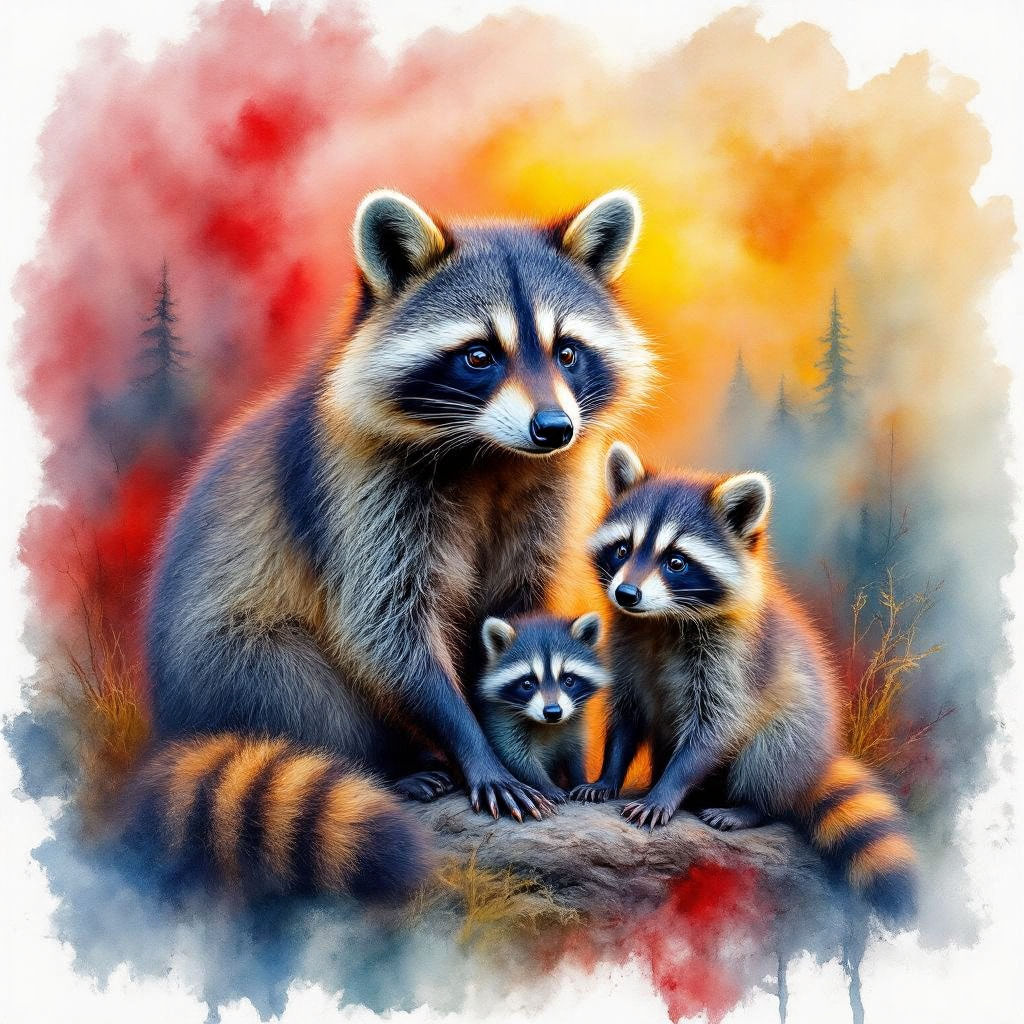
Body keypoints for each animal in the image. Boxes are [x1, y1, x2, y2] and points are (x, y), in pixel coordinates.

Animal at [474, 612, 607, 801]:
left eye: (568, 680)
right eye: (527, 684)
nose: (553, 712)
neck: (549, 725)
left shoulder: (574, 722)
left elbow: (575, 752)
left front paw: (580, 779)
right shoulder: (500, 718)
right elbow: (515, 756)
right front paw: (545, 785)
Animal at [572, 442, 918, 922]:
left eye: (676, 562)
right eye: (623, 549)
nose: (626, 594)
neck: (661, 620)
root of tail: (818, 763)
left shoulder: (733, 658)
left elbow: (716, 729)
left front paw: (668, 789)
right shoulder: (626, 645)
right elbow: (627, 716)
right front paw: (609, 775)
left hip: (797, 733)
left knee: (770, 756)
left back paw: (748, 807)